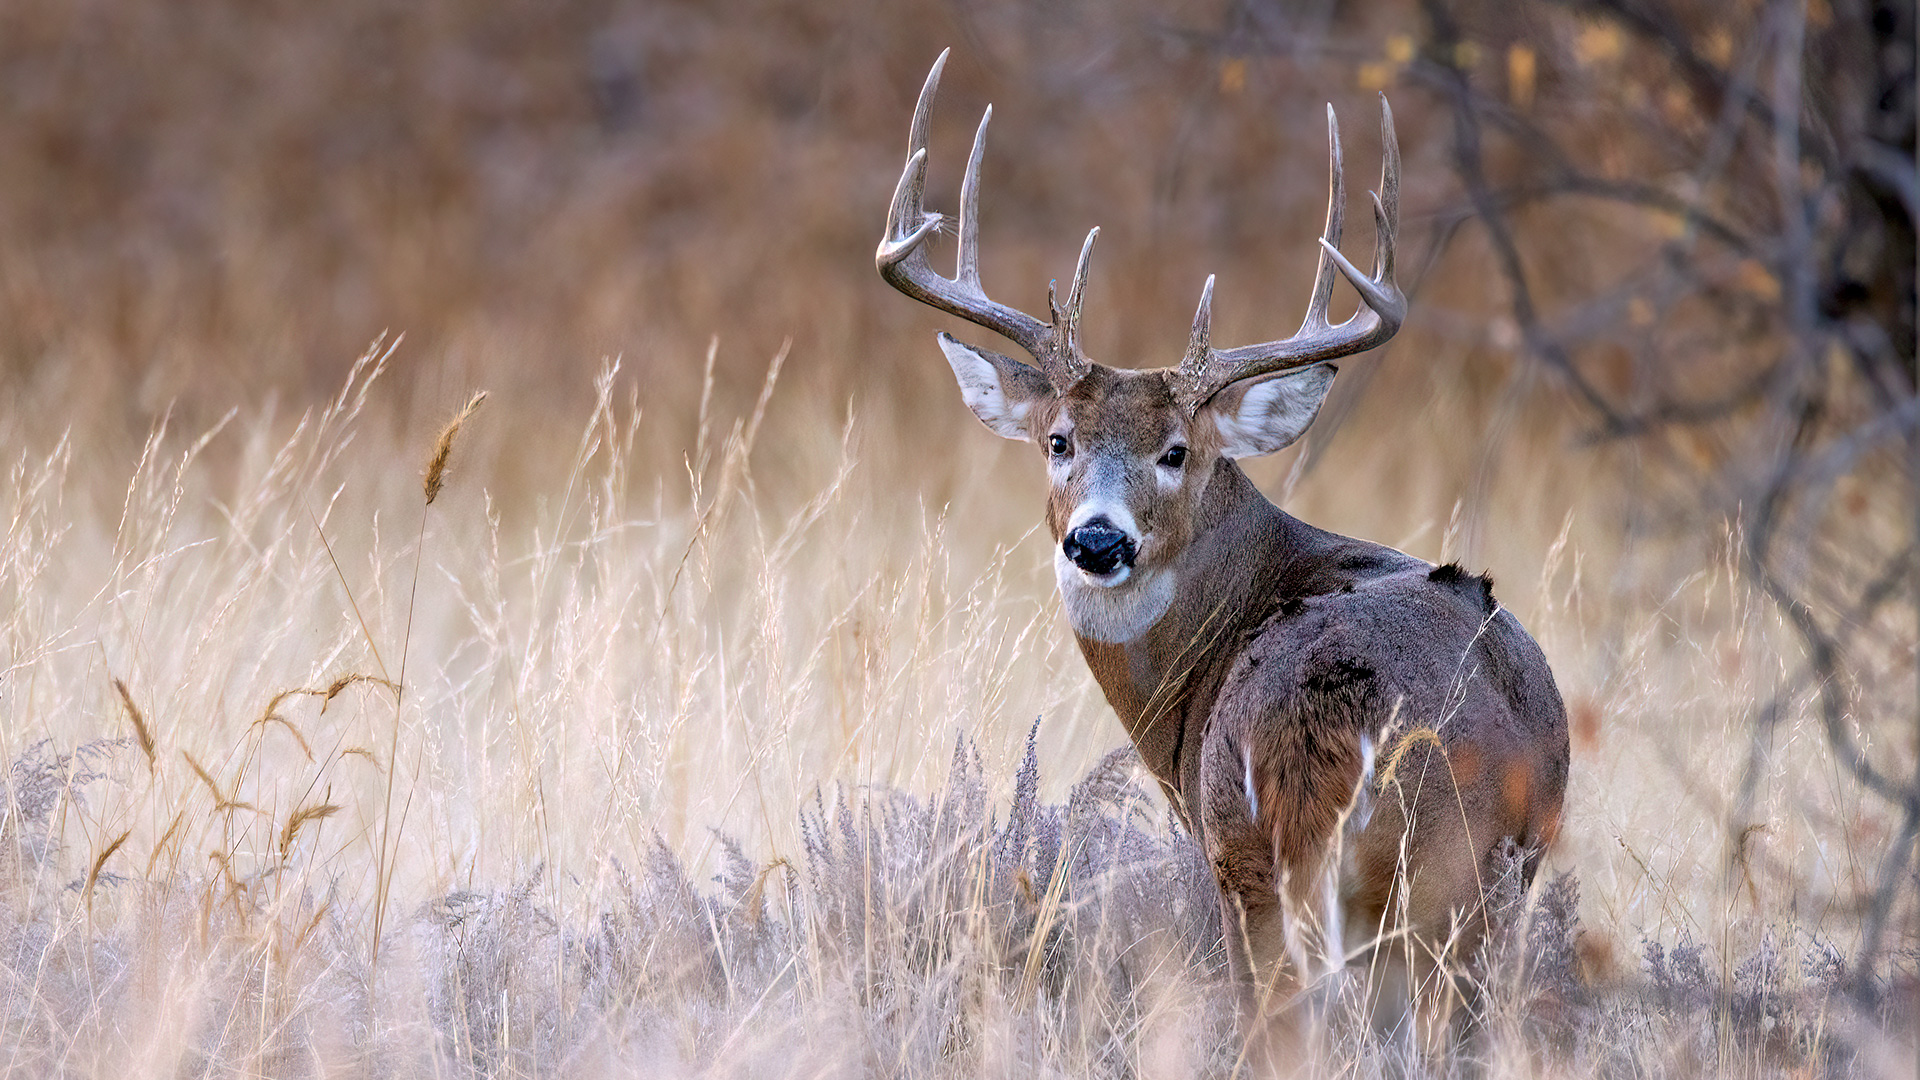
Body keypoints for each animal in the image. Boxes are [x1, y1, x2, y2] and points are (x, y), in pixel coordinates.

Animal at [879, 52, 1566, 1060]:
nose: (1098, 539)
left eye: (1178, 451)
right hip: (1479, 892)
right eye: (1058, 440)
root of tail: (1337, 716)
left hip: (1297, 873)